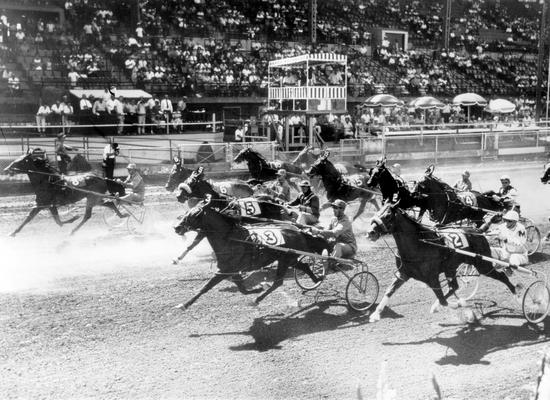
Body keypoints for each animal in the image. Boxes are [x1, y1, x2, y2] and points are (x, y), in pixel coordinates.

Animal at [174, 198, 332, 310]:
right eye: (187, 213)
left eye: (194, 214)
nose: (176, 227)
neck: (230, 238)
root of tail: (298, 231)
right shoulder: (232, 271)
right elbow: (242, 289)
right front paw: (257, 288)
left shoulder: (223, 271)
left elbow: (205, 287)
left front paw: (184, 304)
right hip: (290, 259)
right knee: (304, 266)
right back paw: (316, 279)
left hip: (286, 260)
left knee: (278, 282)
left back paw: (257, 300)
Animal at [366, 203, 520, 322]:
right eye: (377, 212)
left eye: (387, 216)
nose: (370, 232)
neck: (420, 245)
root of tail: (478, 230)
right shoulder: (403, 273)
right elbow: (389, 291)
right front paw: (375, 314)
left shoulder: (432, 278)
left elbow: (442, 300)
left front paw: (459, 306)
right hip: (451, 268)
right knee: (454, 286)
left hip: (483, 265)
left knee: (501, 276)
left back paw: (516, 295)